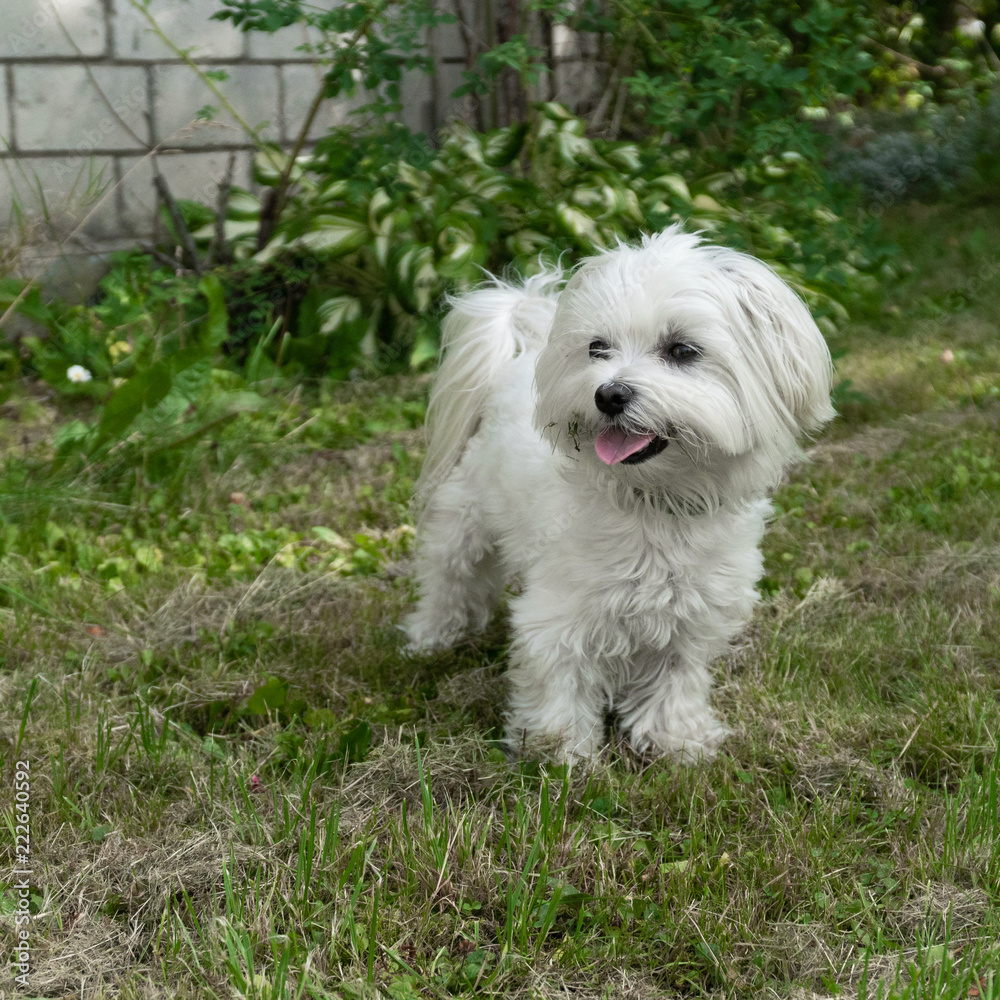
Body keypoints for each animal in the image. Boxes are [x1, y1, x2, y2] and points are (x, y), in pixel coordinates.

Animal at [402, 225, 832, 756]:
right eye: (597, 347)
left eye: (682, 350)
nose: (608, 393)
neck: (654, 502)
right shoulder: (560, 614)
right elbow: (558, 678)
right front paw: (558, 751)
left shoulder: (692, 615)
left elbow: (677, 677)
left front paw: (677, 737)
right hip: (463, 523)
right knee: (448, 580)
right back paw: (431, 638)